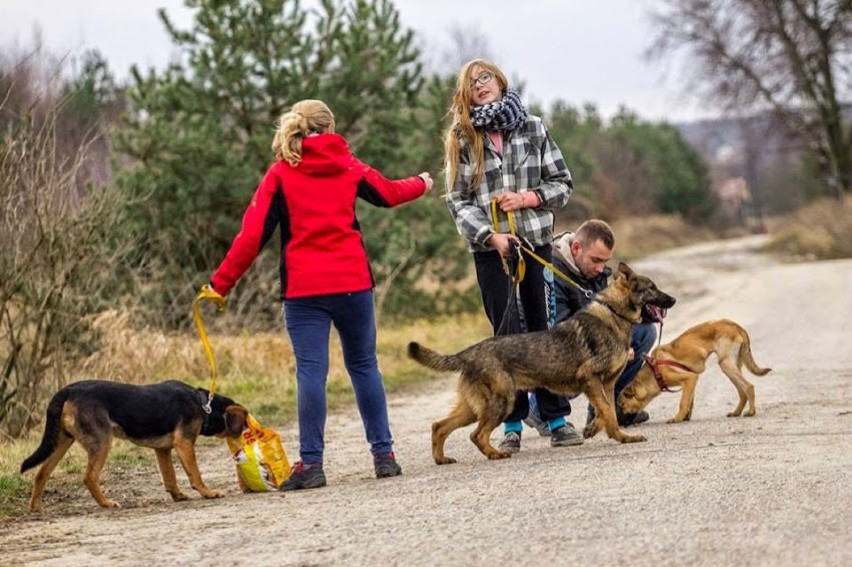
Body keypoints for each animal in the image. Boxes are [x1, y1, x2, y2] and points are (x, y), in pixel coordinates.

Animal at [20, 380, 248, 512]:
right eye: (245, 421)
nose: (247, 431)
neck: (203, 404)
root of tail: (67, 390)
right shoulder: (184, 443)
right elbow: (195, 474)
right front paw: (208, 492)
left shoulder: (162, 450)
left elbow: (170, 477)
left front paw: (178, 496)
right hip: (101, 442)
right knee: (89, 477)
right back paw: (106, 503)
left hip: (61, 442)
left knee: (41, 473)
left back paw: (36, 507)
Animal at [410, 262, 676, 466]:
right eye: (651, 288)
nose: (673, 299)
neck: (613, 312)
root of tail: (468, 352)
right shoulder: (590, 379)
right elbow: (608, 411)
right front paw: (621, 436)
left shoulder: (606, 385)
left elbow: (606, 410)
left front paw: (600, 431)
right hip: (501, 402)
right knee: (477, 435)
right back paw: (495, 454)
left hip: (473, 408)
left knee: (439, 426)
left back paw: (441, 459)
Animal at [620, 320, 772, 422]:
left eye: (621, 405)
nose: (623, 421)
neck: (654, 371)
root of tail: (735, 325)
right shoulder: (692, 379)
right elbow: (690, 401)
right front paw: (685, 417)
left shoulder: (689, 378)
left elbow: (683, 402)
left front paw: (677, 418)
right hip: (733, 365)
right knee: (742, 391)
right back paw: (736, 412)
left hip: (726, 364)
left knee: (749, 386)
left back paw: (751, 411)